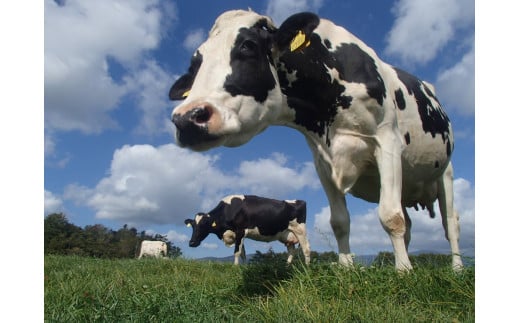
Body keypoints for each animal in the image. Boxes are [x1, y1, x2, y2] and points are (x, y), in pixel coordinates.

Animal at [170, 10, 464, 272]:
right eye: (194, 65)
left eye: (248, 45)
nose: (186, 119)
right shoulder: (323, 163)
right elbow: (340, 221)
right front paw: (346, 268)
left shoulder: (387, 141)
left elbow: (391, 216)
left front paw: (403, 272)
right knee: (409, 224)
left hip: (445, 172)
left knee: (450, 224)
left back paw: (456, 267)